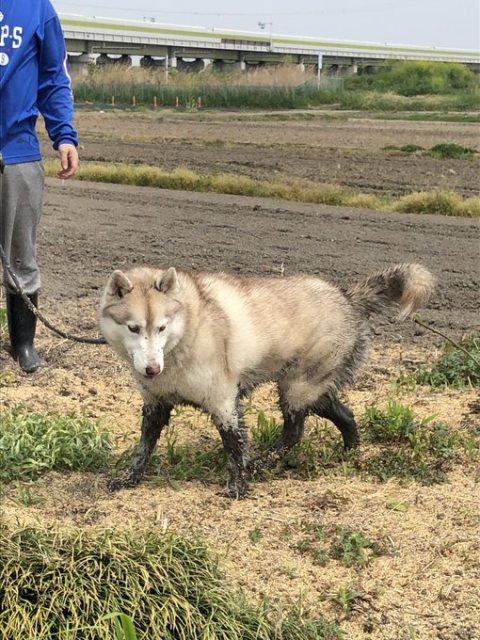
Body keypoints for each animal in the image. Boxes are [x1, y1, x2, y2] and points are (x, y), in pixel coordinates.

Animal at [101, 262, 436, 498]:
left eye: (161, 327)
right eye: (133, 328)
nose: (151, 369)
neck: (185, 335)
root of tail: (347, 297)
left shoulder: (224, 402)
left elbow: (235, 447)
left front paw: (238, 487)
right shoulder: (155, 405)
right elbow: (144, 448)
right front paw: (130, 479)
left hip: (297, 387)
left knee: (294, 432)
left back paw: (263, 463)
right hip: (312, 388)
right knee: (345, 414)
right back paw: (350, 451)